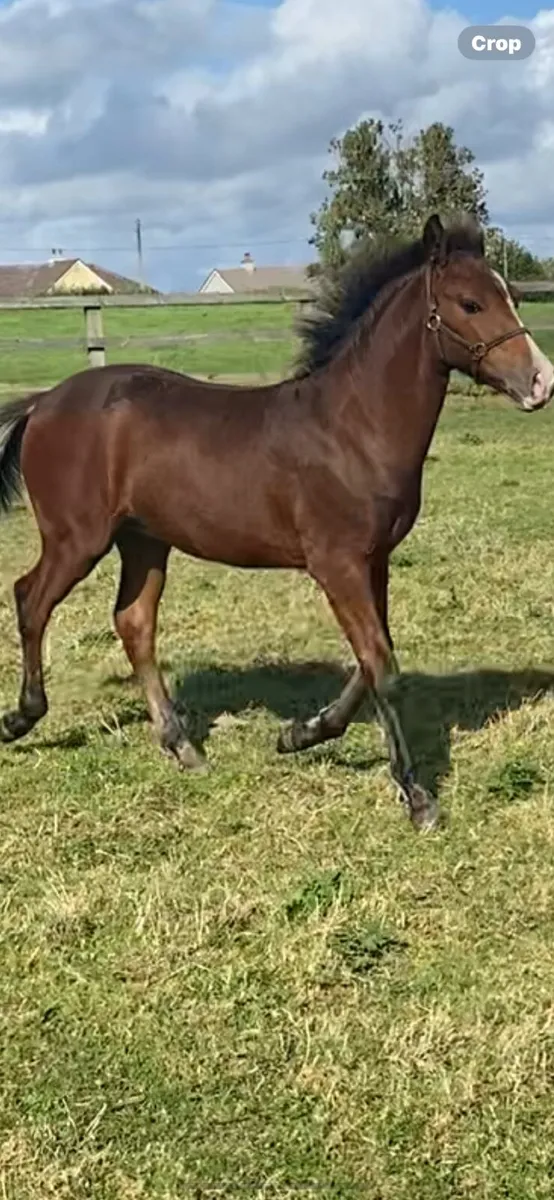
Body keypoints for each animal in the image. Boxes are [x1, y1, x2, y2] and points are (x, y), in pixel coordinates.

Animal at [0, 212, 551, 832]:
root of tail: (44, 402)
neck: (353, 428)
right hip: (78, 538)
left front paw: (300, 734)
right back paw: (21, 718)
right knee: (30, 598)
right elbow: (381, 665)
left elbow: (372, 659)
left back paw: (183, 746)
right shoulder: (336, 564)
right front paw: (417, 796)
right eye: (470, 303)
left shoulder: (373, 561)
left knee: (133, 621)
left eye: (510, 295)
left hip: (144, 542)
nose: (541, 381)